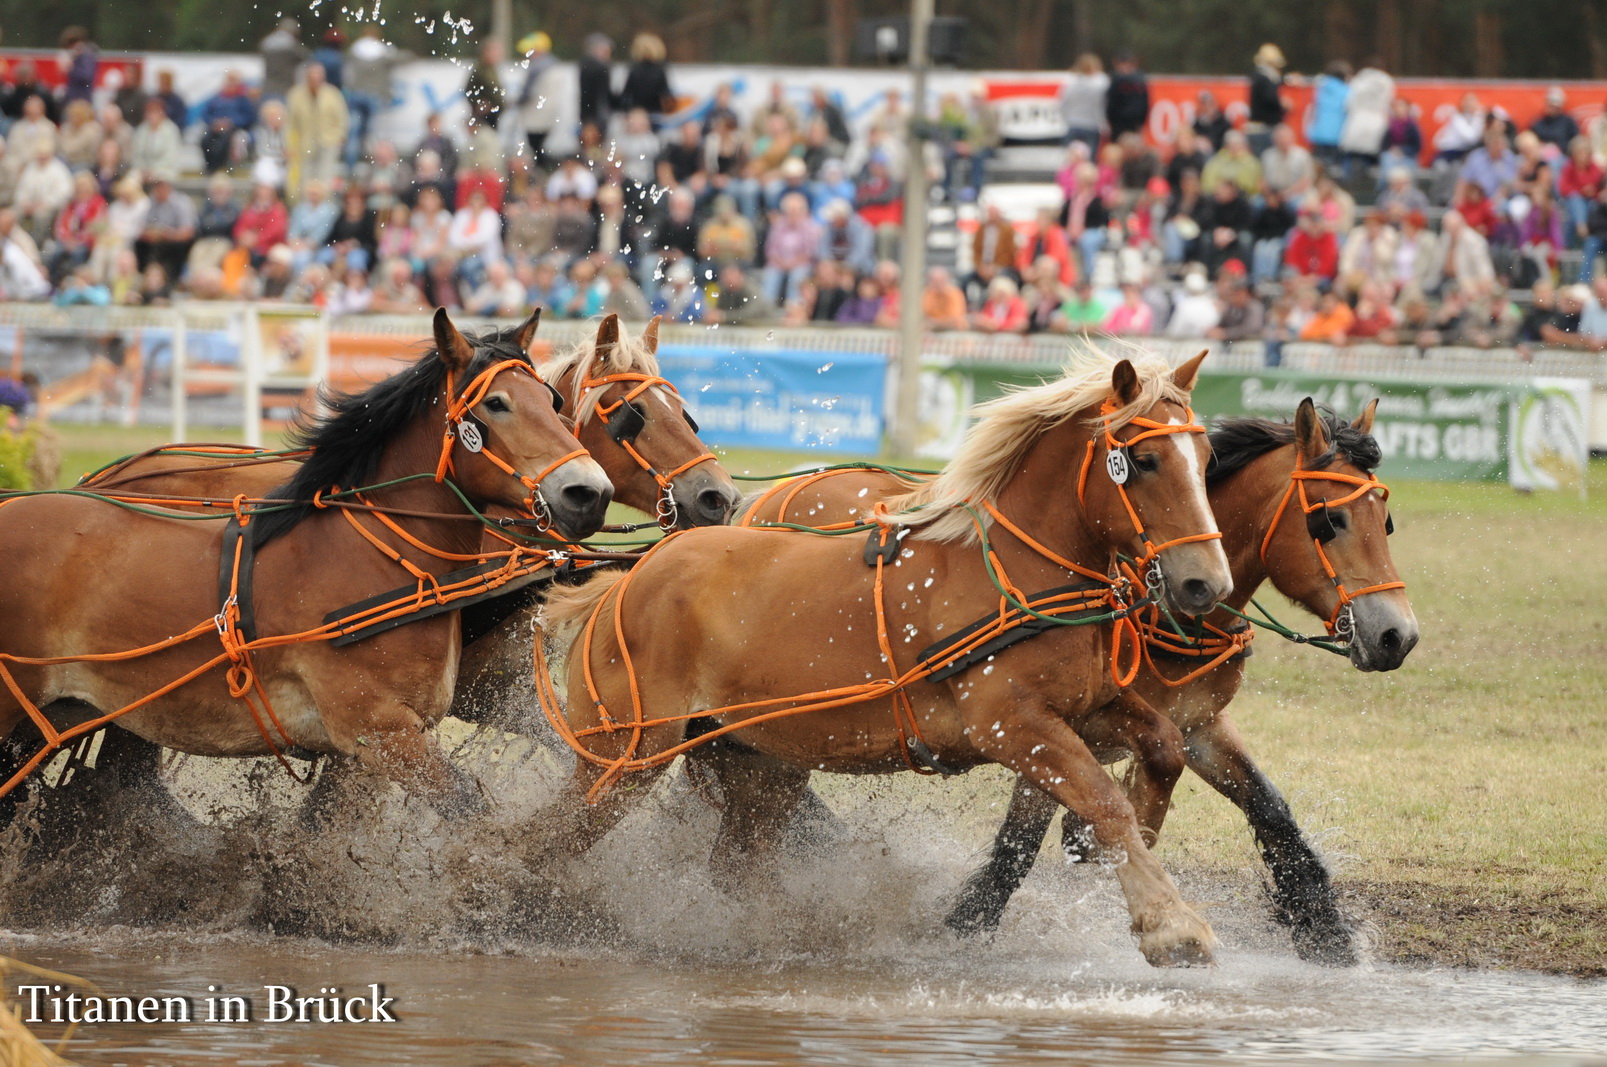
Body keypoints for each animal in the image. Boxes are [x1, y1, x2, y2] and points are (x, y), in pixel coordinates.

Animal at [539, 351, 1227, 964]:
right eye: (1144, 460)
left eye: (1207, 460)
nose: (1206, 584)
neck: (1013, 570)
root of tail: (623, 584)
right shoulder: (1013, 726)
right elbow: (1104, 803)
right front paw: (1170, 923)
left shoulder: (1088, 706)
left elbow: (1163, 748)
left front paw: (1117, 840)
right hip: (625, 756)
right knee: (539, 843)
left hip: (760, 764)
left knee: (734, 866)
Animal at [729, 395, 1420, 964]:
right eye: (1327, 521)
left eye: (1386, 522)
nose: (1397, 636)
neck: (1149, 604)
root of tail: (765, 499)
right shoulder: (1045, 725)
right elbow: (1017, 848)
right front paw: (964, 928)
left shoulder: (1198, 723)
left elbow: (1270, 810)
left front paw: (1326, 934)